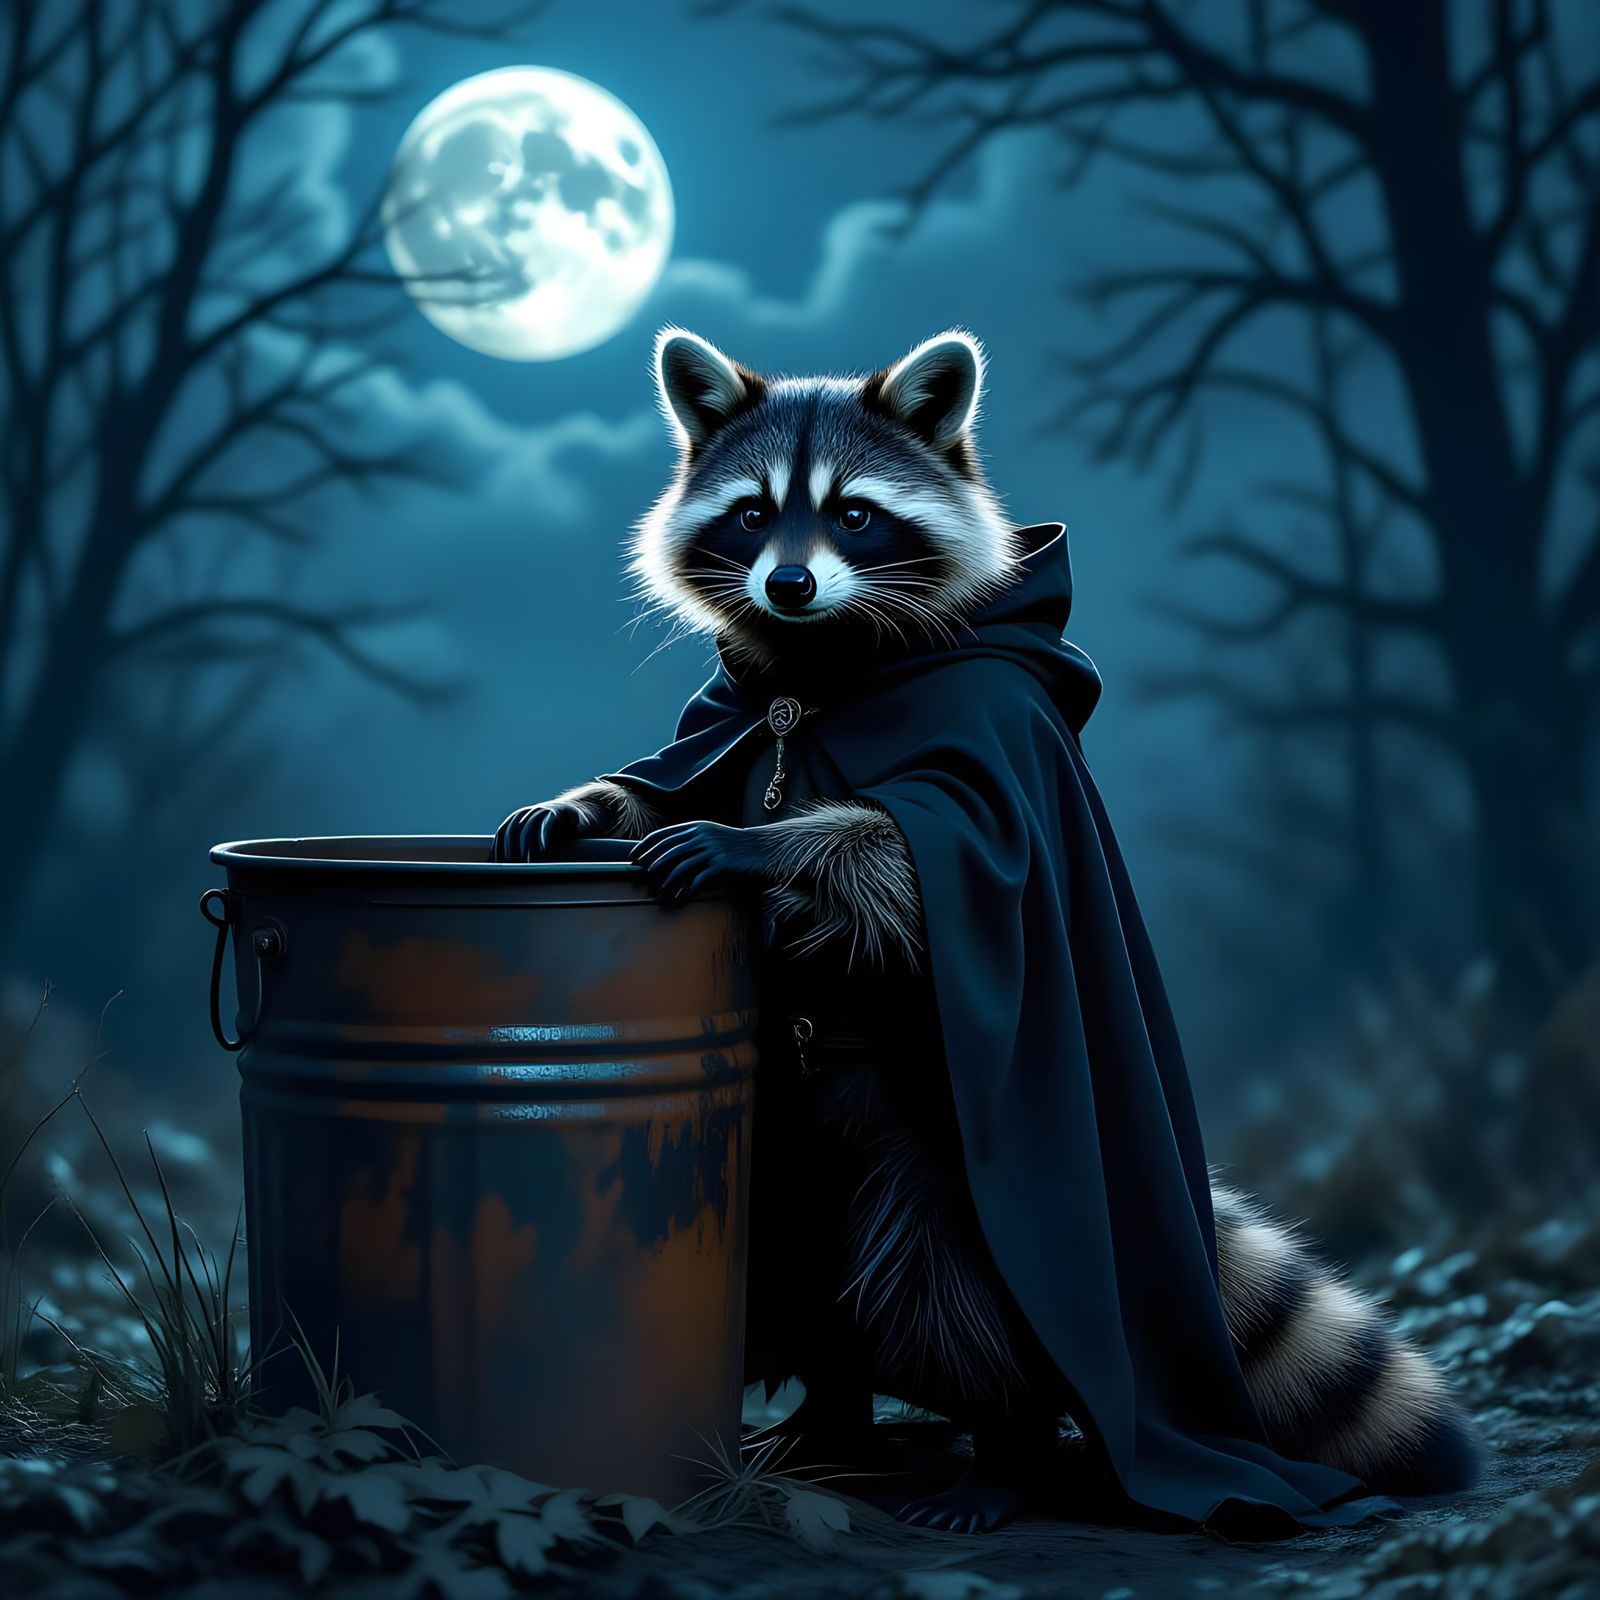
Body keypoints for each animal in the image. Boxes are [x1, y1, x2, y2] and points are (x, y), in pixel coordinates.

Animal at [493, 327, 1480, 1532]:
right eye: (751, 513)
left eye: (855, 515)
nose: (788, 581)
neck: (817, 677)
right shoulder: (721, 726)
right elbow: (666, 785)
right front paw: (589, 806)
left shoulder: (1000, 755)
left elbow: (916, 860)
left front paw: (770, 849)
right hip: (776, 1143)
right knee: (804, 1274)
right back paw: (832, 1419)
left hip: (936, 1153)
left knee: (948, 1285)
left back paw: (1006, 1443)